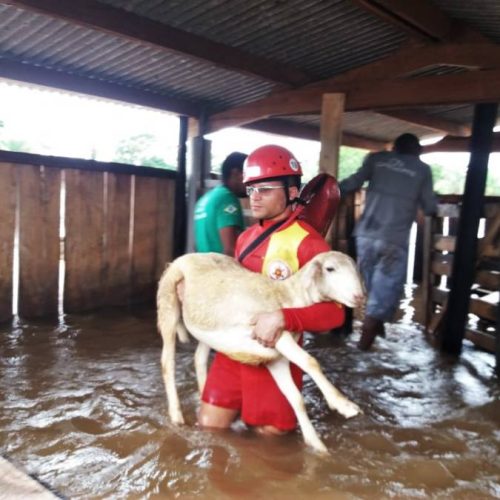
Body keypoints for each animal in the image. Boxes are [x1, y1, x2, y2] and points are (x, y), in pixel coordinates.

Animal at [158, 250, 366, 454]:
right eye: (330, 268)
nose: (360, 297)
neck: (287, 296)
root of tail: (189, 255)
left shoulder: (275, 356)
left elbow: (296, 398)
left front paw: (316, 444)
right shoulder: (277, 335)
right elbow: (310, 362)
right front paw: (343, 404)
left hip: (206, 328)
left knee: (199, 358)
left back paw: (202, 393)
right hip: (168, 304)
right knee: (167, 363)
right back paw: (176, 416)